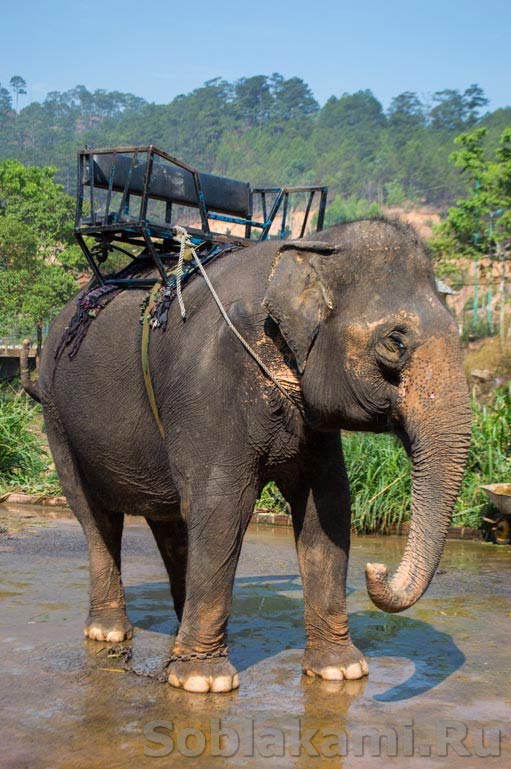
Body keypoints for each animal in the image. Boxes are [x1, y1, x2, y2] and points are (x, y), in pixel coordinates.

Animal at [33, 219, 472, 692]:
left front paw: (340, 671)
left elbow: (328, 507)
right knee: (96, 516)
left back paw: (178, 631)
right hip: (55, 414)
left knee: (170, 518)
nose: (377, 569)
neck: (306, 252)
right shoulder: (211, 382)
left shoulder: (313, 419)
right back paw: (110, 633)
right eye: (394, 343)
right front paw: (202, 682)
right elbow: (223, 506)